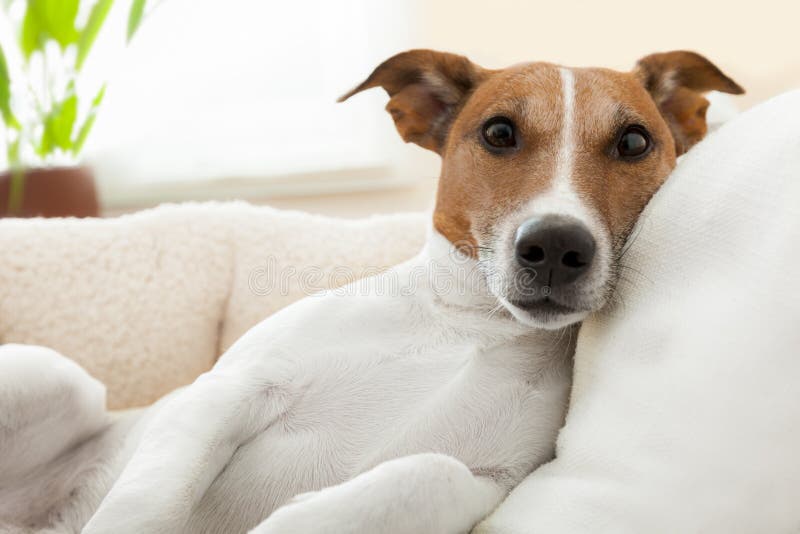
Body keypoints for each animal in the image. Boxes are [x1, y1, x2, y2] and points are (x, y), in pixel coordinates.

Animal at [0, 50, 744, 534]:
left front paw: (296, 524)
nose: (557, 246)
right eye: (499, 132)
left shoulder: (494, 482)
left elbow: (428, 473)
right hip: (51, 374)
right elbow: (145, 505)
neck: (471, 324)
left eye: (635, 141)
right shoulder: (225, 392)